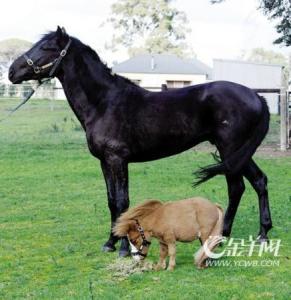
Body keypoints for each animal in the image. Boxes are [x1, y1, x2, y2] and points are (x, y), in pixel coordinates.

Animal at [9, 27, 274, 255]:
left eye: (46, 47)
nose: (11, 71)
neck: (104, 103)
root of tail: (256, 96)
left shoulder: (118, 159)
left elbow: (123, 202)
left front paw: (125, 249)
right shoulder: (104, 162)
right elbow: (111, 201)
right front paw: (110, 242)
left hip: (231, 149)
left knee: (237, 187)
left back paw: (234, 235)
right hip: (237, 152)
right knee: (256, 182)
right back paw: (253, 234)